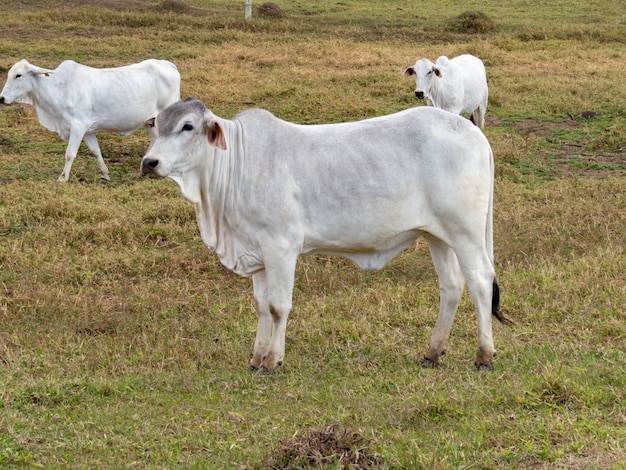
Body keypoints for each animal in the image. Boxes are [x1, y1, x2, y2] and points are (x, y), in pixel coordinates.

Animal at [0, 58, 180, 182]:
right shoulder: (87, 131)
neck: (60, 89)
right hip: (150, 121)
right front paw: (105, 173)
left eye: (18, 75)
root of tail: (168, 64)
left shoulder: (78, 127)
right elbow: (96, 151)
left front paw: (63, 178)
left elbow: (70, 154)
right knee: (155, 139)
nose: (2, 98)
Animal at [140, 97, 508, 372]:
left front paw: (273, 360)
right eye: (157, 126)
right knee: (451, 286)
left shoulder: (281, 248)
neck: (236, 165)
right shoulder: (256, 252)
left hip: (466, 232)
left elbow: (278, 306)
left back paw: (484, 355)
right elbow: (261, 307)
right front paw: (257, 358)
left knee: (480, 281)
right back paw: (433, 352)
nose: (149, 162)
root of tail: (474, 133)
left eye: (188, 126)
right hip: (437, 235)